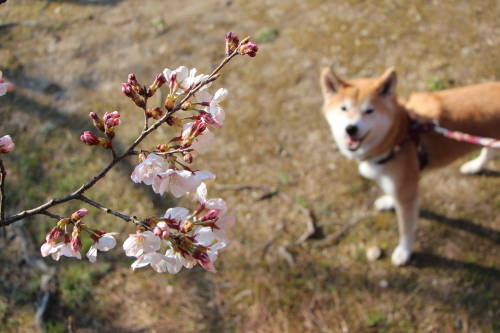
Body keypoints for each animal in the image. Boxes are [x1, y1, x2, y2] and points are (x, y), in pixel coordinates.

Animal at [320, 67, 500, 264]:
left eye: (369, 111)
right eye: (343, 108)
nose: (351, 128)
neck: (399, 135)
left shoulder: (407, 194)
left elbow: (406, 229)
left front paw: (404, 252)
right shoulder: (399, 185)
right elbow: (392, 194)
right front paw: (389, 201)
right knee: (489, 150)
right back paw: (475, 166)